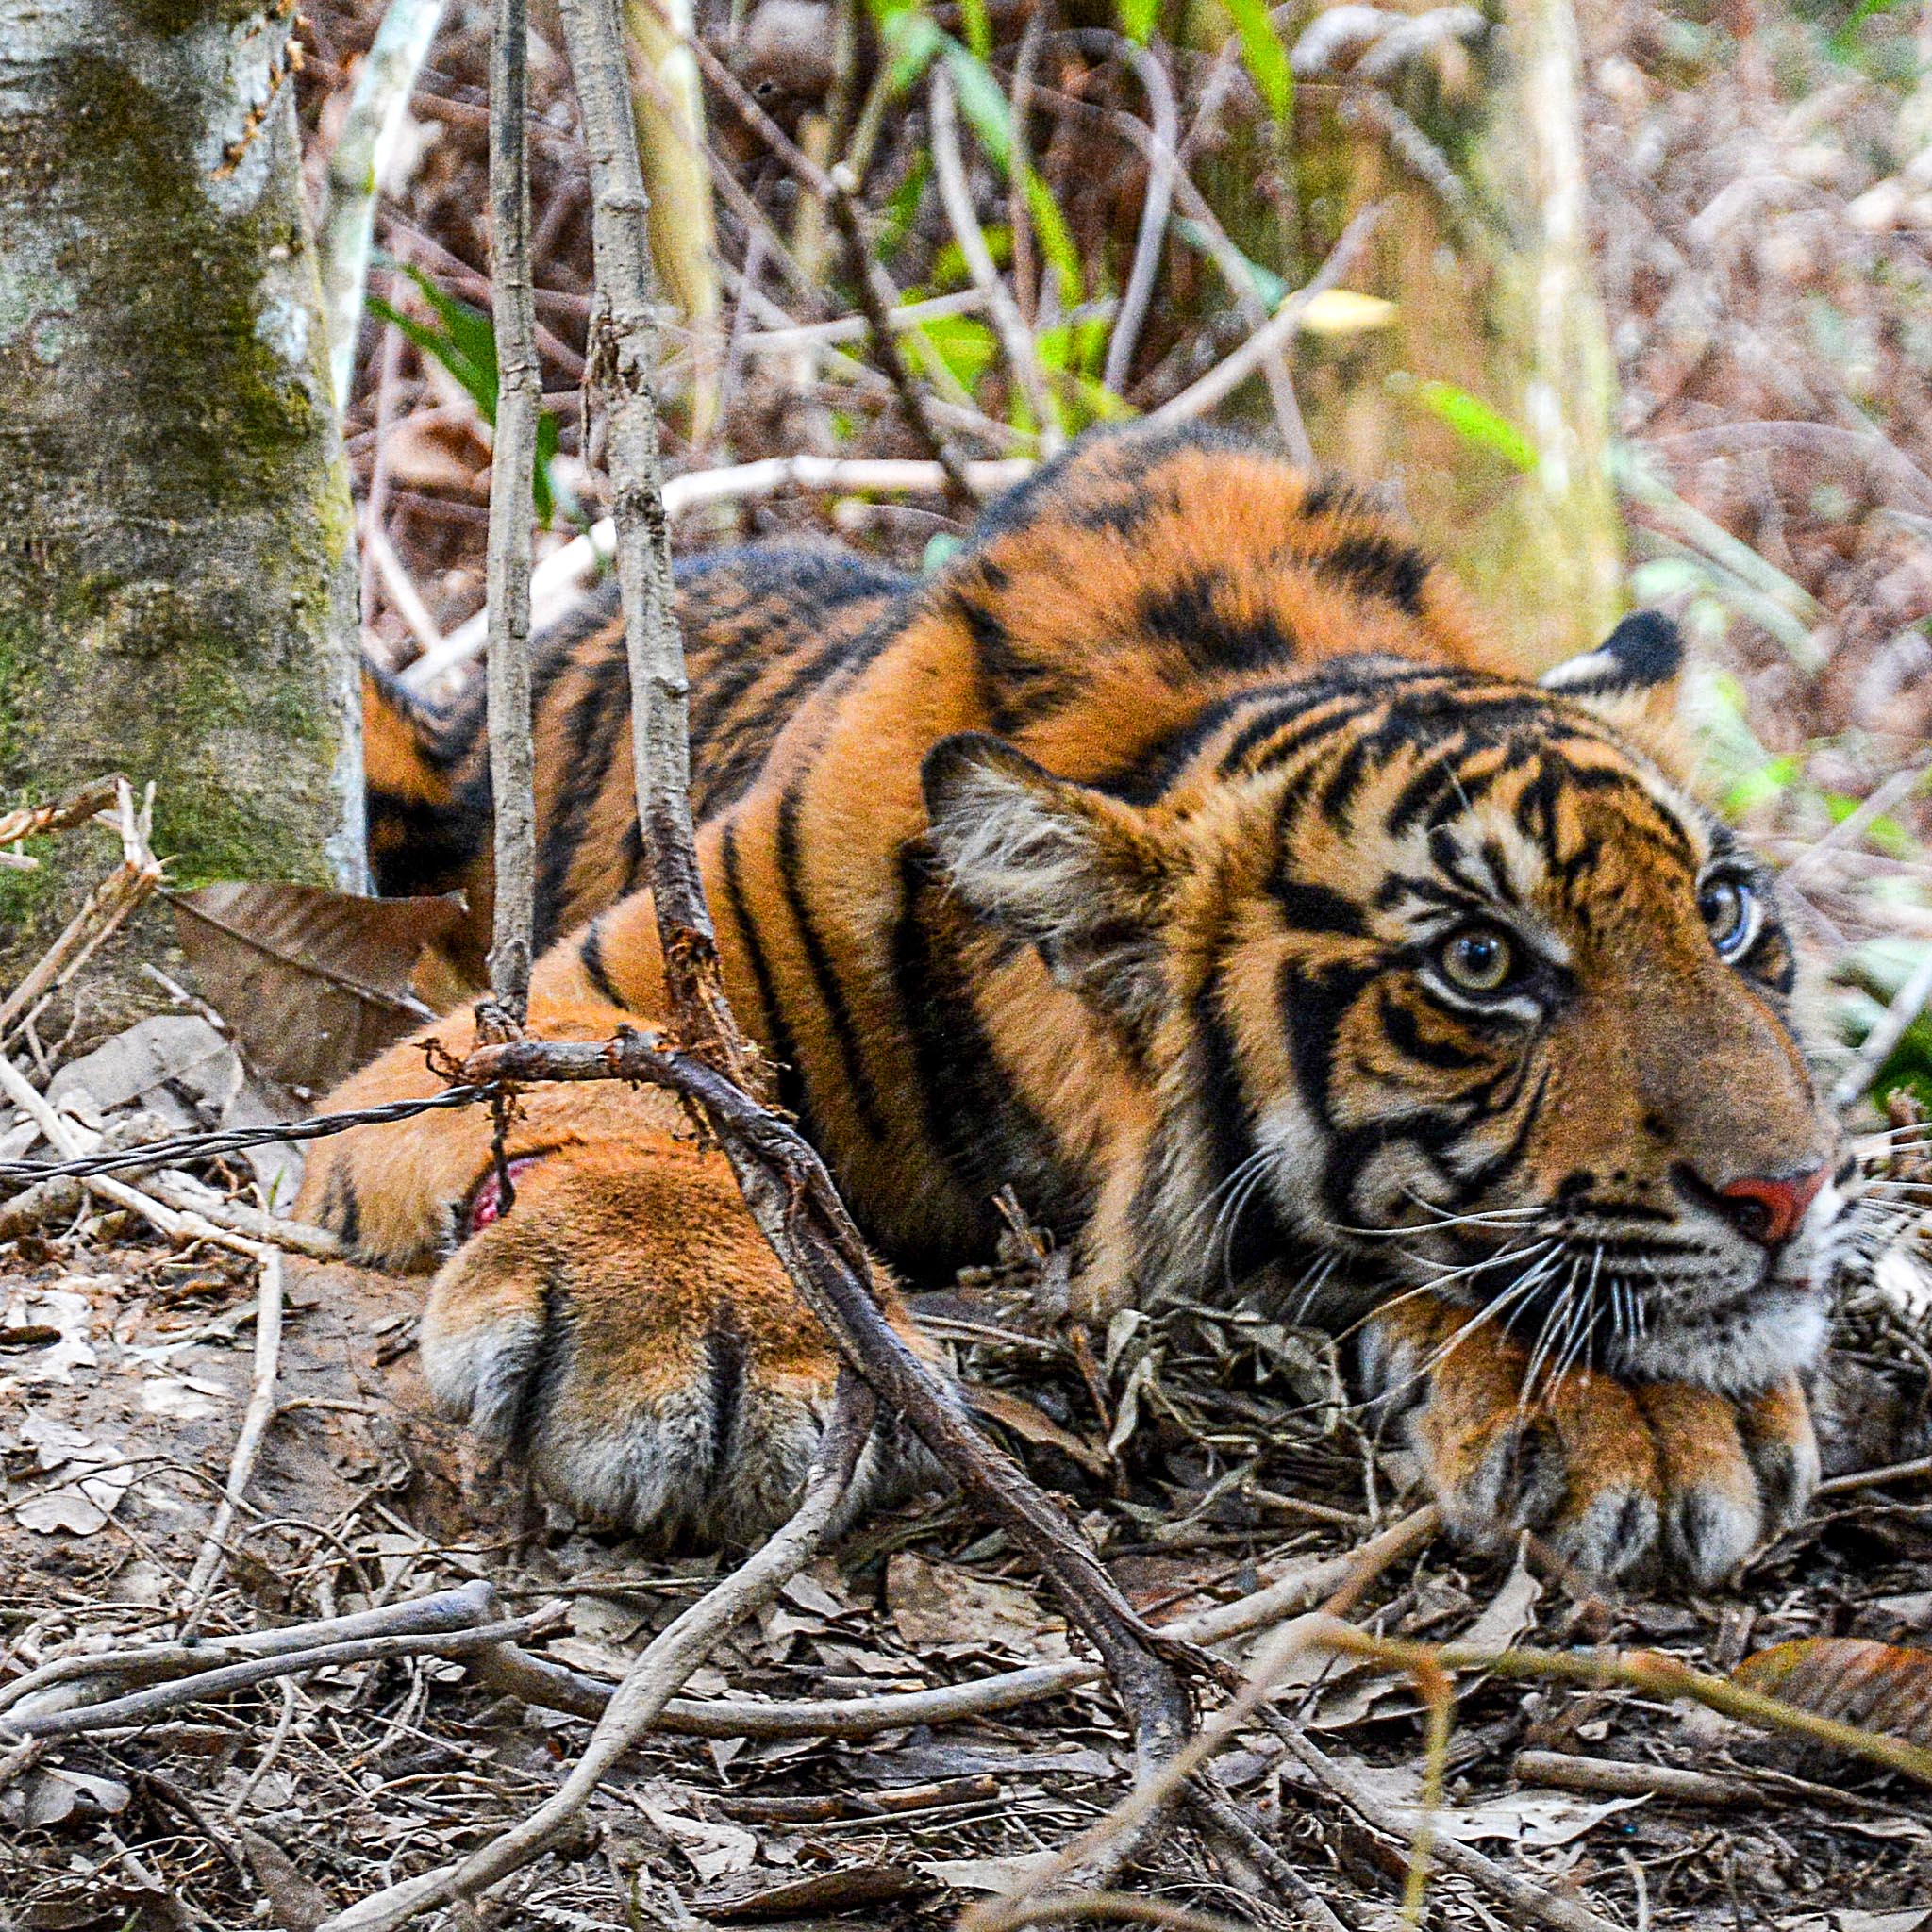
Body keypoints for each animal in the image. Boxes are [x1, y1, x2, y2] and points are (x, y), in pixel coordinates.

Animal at [305, 425, 1845, 1584]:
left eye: (1723, 911)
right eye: (1478, 961)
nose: (1791, 1191)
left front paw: (1650, 1417)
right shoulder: (570, 997)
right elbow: (651, 1083)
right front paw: (690, 1324)